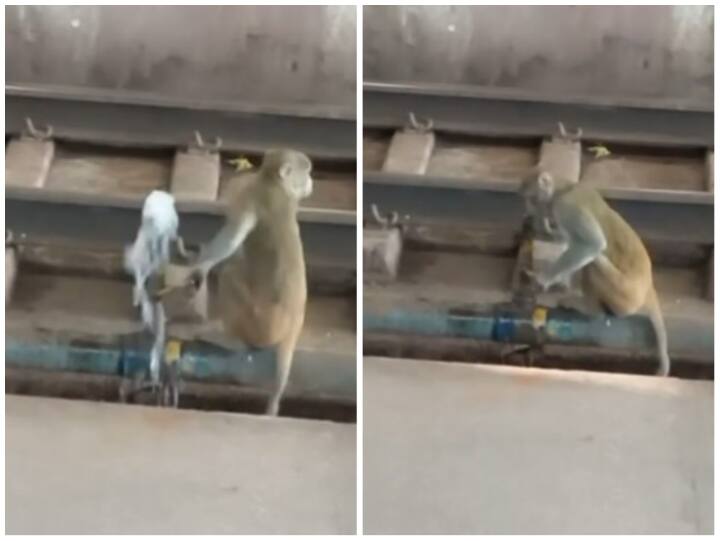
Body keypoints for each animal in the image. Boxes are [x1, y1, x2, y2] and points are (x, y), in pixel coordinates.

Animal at [185, 149, 313, 415]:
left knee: (229, 274)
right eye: (306, 171)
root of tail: (293, 325)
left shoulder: (252, 194)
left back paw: (232, 340)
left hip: (259, 324)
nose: (310, 181)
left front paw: (201, 263)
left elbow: (233, 238)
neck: (274, 182)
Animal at [520, 172, 670, 376]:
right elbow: (567, 240)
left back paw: (590, 308)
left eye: (530, 198)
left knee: (594, 259)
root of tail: (648, 290)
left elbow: (593, 244)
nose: (528, 209)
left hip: (622, 296)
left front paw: (544, 279)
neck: (563, 189)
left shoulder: (567, 207)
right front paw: (543, 228)